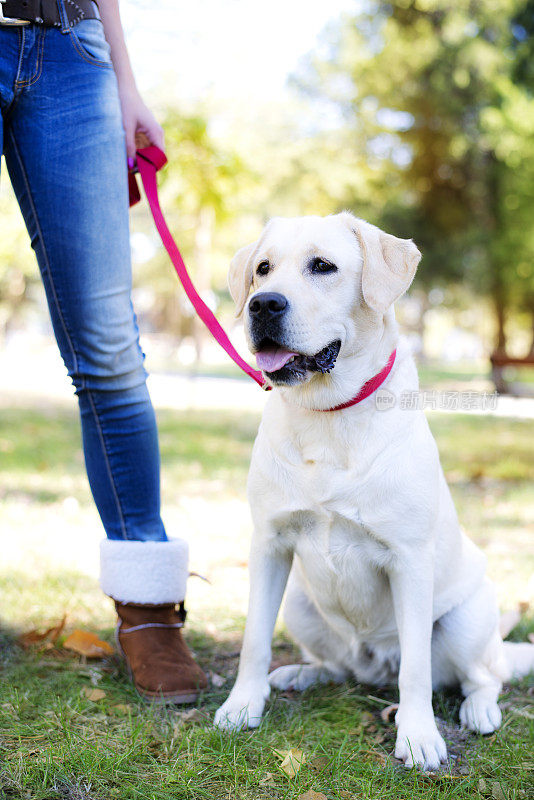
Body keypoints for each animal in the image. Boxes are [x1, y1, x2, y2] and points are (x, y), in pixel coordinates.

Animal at [215, 211, 534, 768]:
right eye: (262, 269)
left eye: (323, 266)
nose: (263, 304)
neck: (327, 415)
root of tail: (373, 667)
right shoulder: (269, 544)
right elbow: (254, 638)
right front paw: (243, 705)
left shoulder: (409, 559)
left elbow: (417, 670)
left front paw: (419, 736)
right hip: (300, 603)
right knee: (341, 667)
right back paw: (302, 673)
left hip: (467, 621)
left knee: (480, 676)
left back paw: (478, 711)